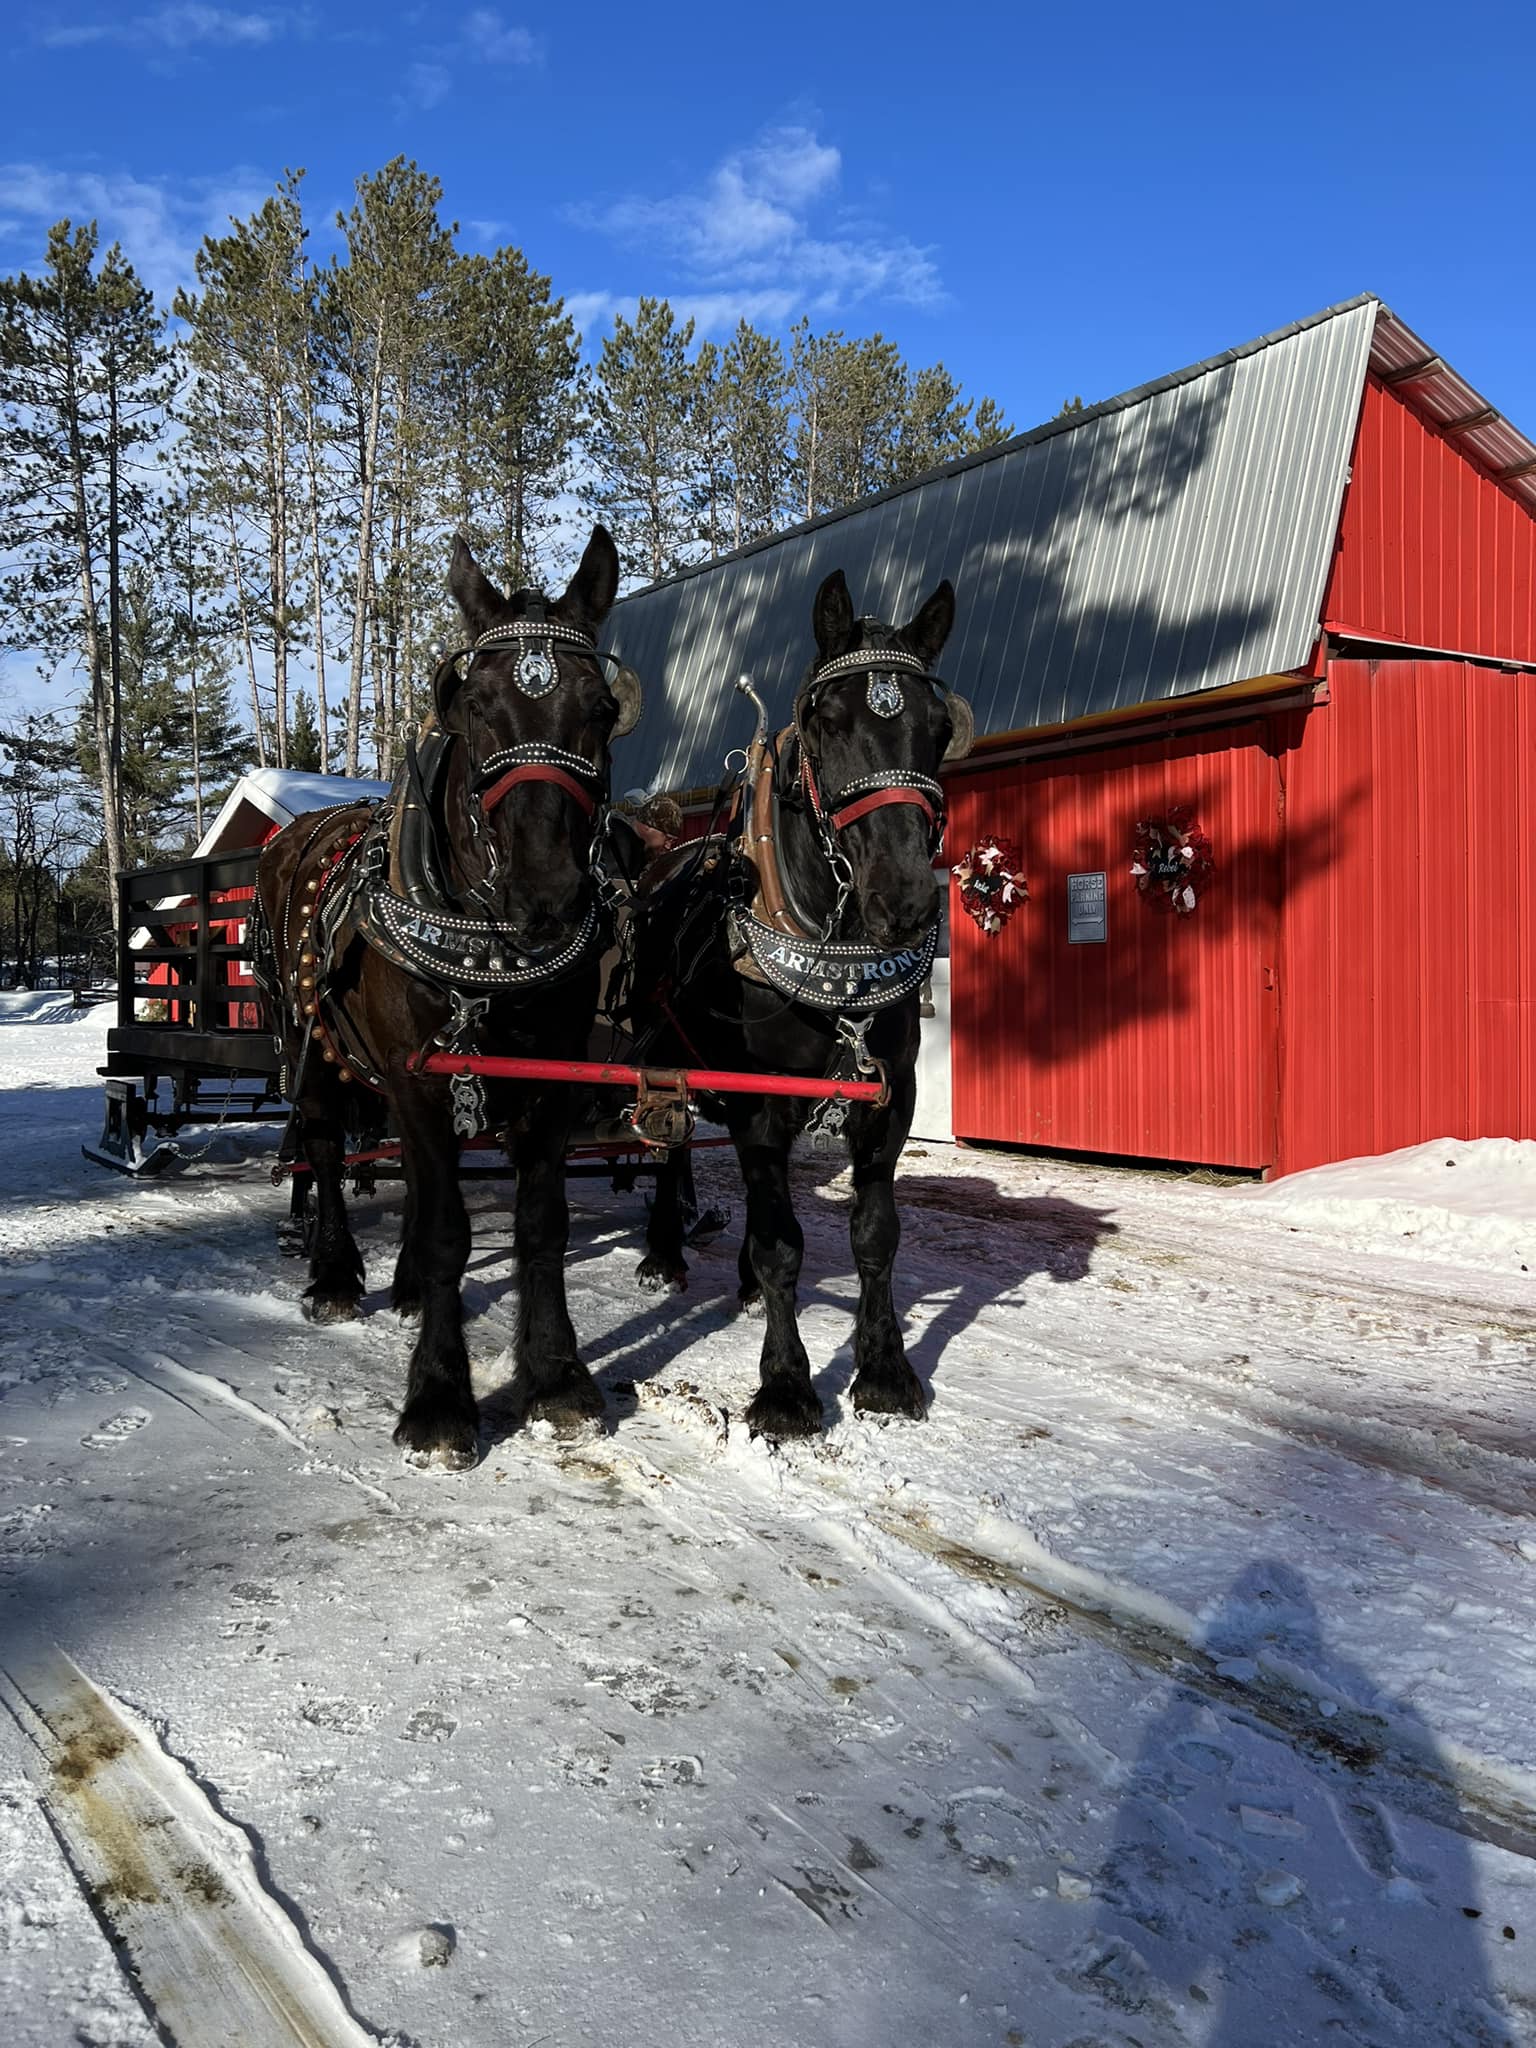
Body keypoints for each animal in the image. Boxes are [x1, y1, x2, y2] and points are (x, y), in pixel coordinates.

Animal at [253, 526, 640, 1469]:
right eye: (475, 706)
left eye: (599, 709)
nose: (547, 894)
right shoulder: (417, 1075)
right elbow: (448, 1233)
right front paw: (437, 1397)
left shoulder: (549, 1083)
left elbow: (540, 1223)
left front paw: (556, 1376)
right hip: (313, 1050)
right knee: (324, 1150)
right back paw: (336, 1274)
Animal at [627, 566, 971, 1439]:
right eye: (826, 725)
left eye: (936, 728)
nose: (905, 902)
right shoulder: (759, 1099)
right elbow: (785, 1245)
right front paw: (785, 1387)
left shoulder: (889, 1096)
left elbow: (874, 1234)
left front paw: (885, 1371)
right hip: (669, 1063)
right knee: (672, 1146)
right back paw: (663, 1253)